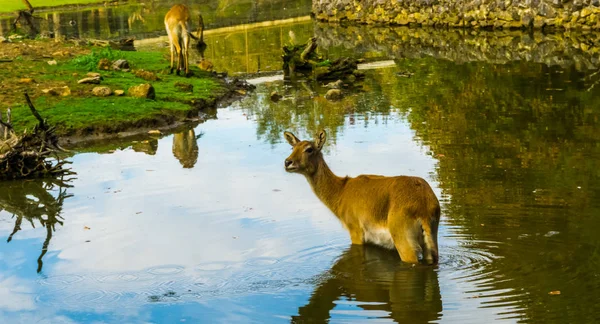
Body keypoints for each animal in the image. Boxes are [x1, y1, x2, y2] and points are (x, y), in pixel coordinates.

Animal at [282, 130, 440, 264]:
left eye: (309, 149)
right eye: (292, 148)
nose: (287, 162)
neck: (341, 191)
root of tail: (424, 205)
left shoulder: (355, 232)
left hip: (404, 242)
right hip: (431, 242)